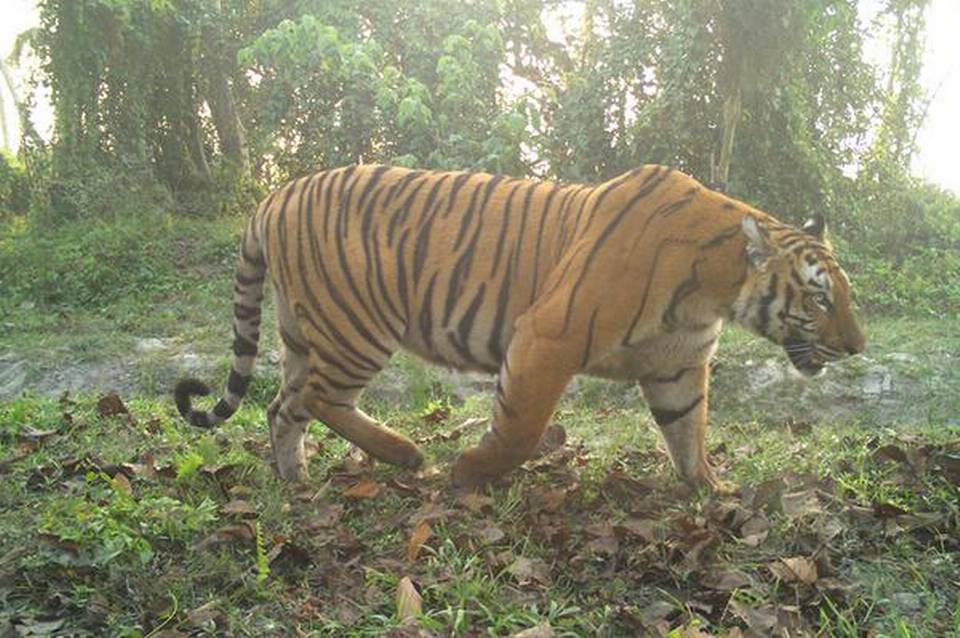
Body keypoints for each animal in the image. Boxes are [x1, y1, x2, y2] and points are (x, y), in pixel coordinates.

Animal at [176, 164, 868, 490]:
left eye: (845, 296)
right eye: (819, 298)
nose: (858, 347)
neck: (717, 288)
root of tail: (273, 196)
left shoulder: (678, 364)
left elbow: (689, 431)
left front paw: (713, 490)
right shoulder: (548, 335)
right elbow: (521, 428)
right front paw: (471, 471)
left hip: (304, 332)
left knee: (282, 408)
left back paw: (295, 479)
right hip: (355, 329)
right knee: (318, 399)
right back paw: (406, 453)